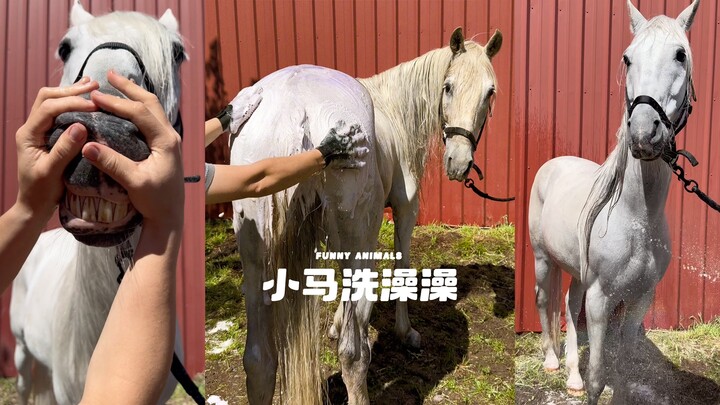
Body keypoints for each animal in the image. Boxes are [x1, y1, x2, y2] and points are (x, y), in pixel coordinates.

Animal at [231, 27, 502, 404]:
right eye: (448, 87)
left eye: (489, 92)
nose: (459, 164)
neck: (394, 109)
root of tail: (296, 108)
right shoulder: (405, 209)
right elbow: (401, 266)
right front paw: (406, 332)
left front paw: (334, 323)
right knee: (353, 354)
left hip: (256, 257)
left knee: (258, 361)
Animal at [528, 1, 699, 403]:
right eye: (627, 58)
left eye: (680, 54)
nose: (643, 132)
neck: (636, 217)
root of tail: (553, 164)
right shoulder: (601, 298)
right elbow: (598, 376)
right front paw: (585, 381)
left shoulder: (638, 301)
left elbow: (621, 369)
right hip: (543, 260)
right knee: (544, 301)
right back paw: (552, 362)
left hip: (577, 273)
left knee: (568, 305)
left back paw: (571, 377)